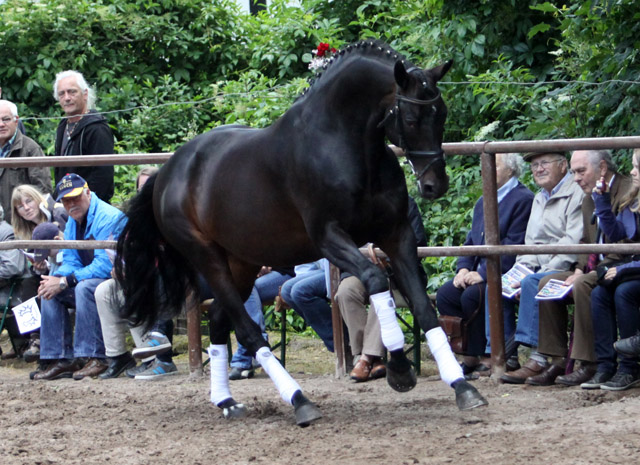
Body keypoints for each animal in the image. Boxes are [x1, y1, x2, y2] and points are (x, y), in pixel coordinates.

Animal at [116, 40, 484, 428]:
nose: (434, 185)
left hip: (242, 262)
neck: (345, 144)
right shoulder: (329, 238)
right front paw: (399, 369)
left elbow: (424, 309)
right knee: (246, 330)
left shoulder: (396, 236)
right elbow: (375, 279)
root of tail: (168, 172)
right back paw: (299, 400)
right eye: (412, 119)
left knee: (218, 320)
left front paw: (462, 387)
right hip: (207, 258)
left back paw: (227, 402)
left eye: (441, 114)